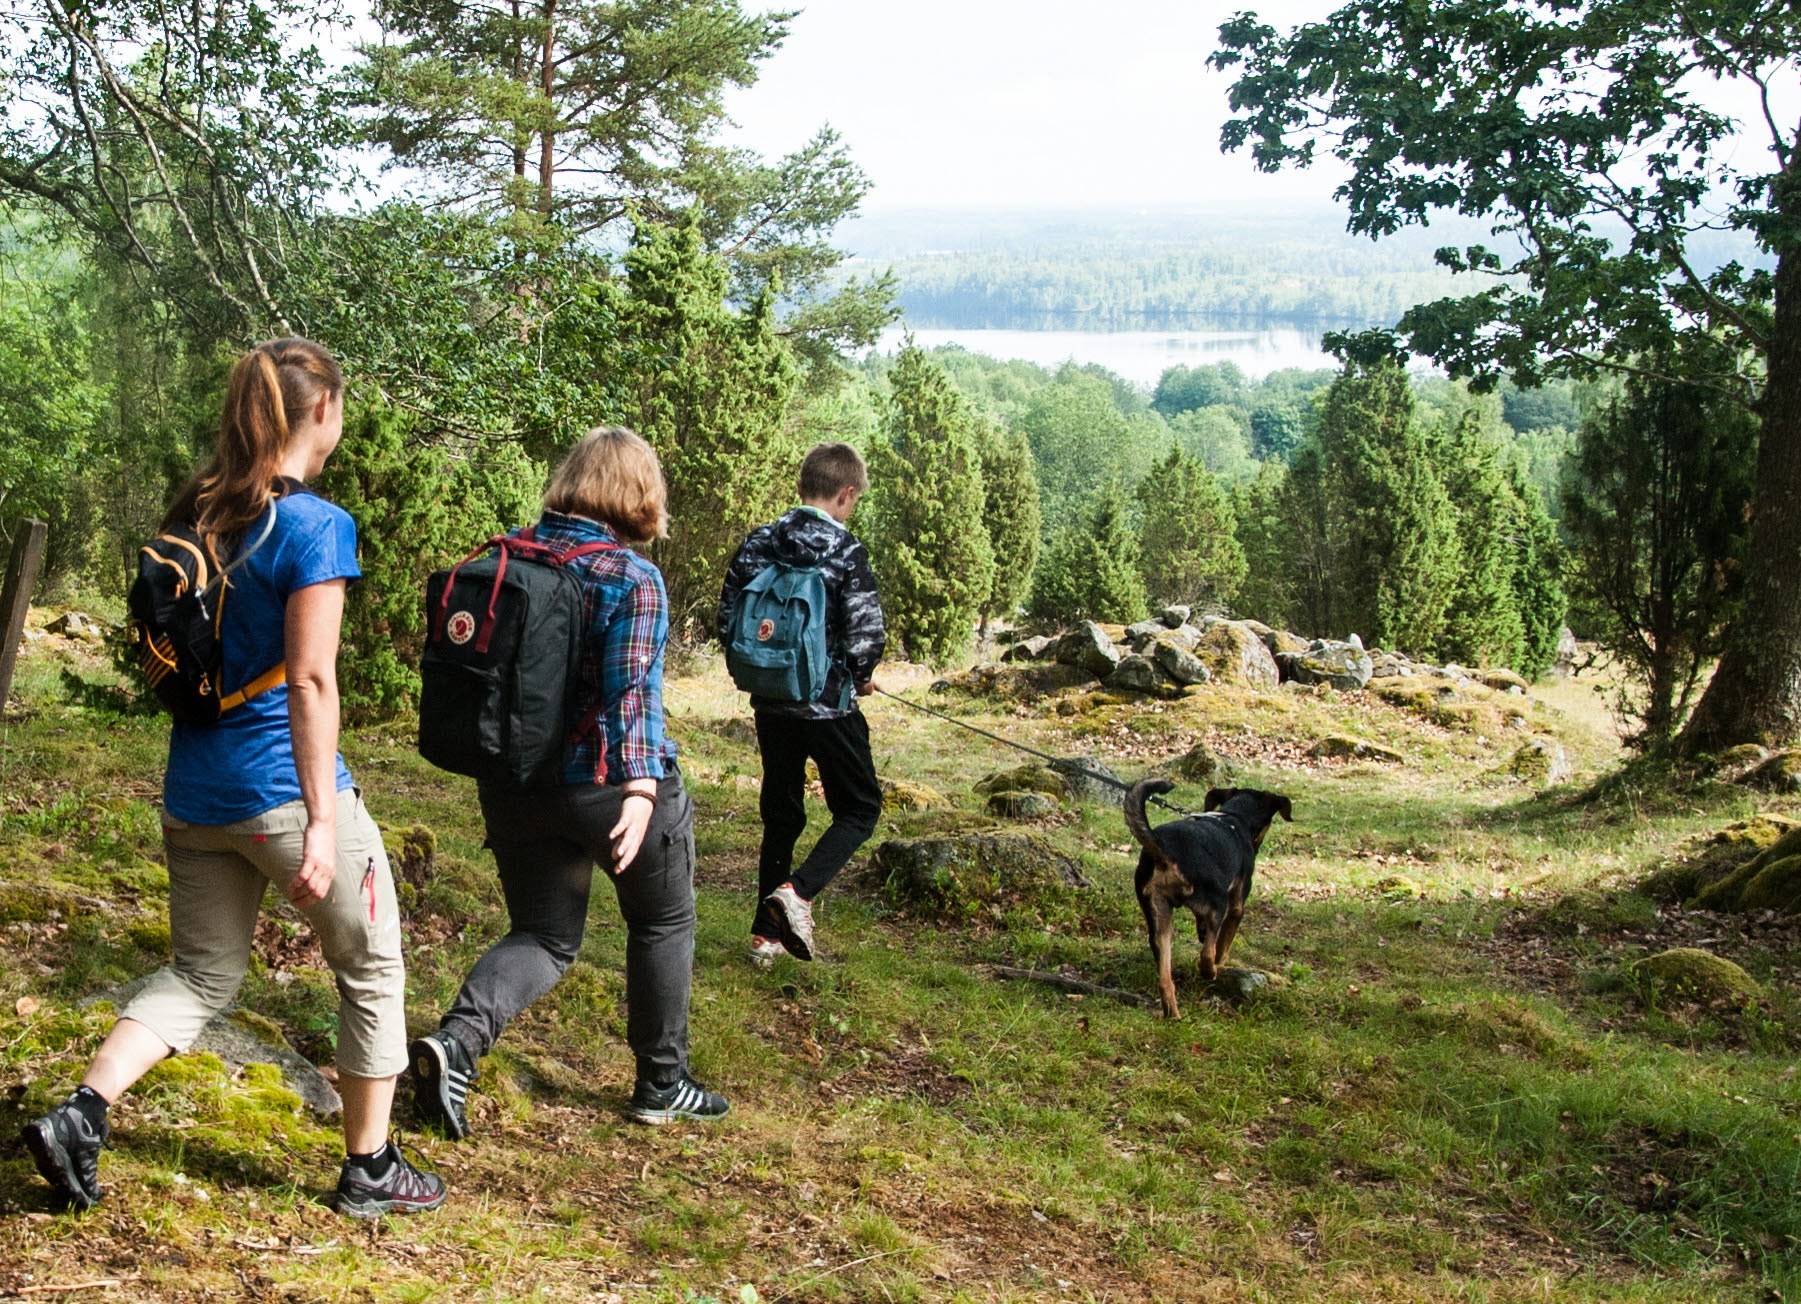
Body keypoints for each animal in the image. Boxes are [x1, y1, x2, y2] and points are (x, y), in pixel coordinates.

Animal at [1123, 774, 1296, 1015]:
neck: (1233, 817)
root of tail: (1162, 845)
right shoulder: (1236, 907)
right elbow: (1222, 945)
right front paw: (1221, 963)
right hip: (1218, 903)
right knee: (1206, 955)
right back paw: (1211, 972)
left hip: (1158, 916)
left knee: (1165, 979)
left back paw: (1174, 1015)